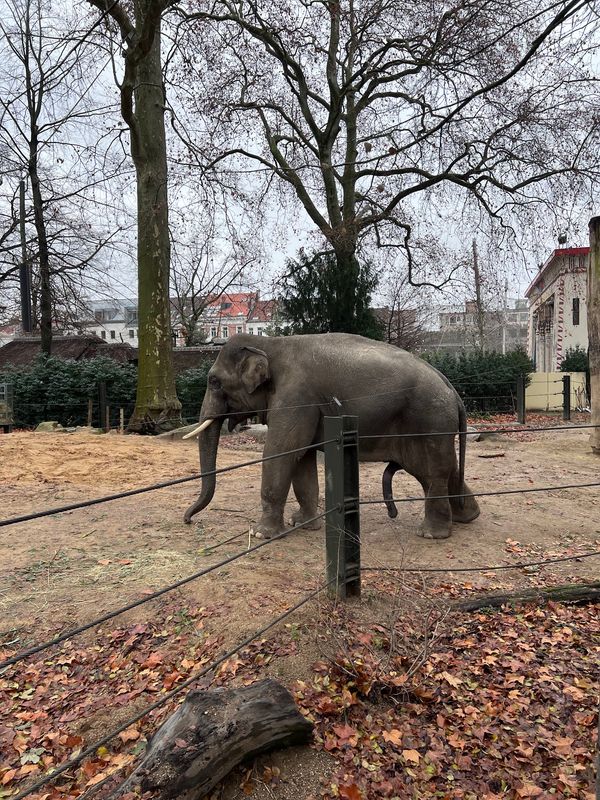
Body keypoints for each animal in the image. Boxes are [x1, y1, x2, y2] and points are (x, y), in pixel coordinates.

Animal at [185, 332, 480, 536]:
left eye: (214, 381)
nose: (187, 520)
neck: (270, 343)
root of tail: (451, 388)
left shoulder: (296, 397)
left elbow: (280, 452)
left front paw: (260, 534)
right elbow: (301, 458)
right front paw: (301, 523)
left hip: (429, 420)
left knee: (434, 472)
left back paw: (431, 534)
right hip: (432, 426)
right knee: (445, 470)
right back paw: (468, 518)